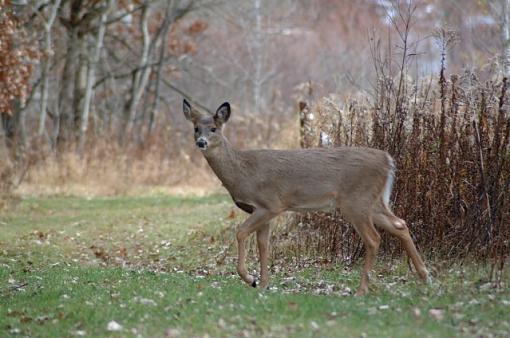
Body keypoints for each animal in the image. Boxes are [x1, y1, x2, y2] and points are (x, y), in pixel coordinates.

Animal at [181, 99, 428, 294]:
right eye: (196, 128)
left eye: (214, 128)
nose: (201, 142)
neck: (243, 173)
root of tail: (388, 160)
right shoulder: (262, 211)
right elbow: (263, 245)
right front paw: (263, 284)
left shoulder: (270, 203)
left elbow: (241, 233)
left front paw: (250, 279)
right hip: (373, 202)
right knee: (400, 224)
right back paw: (424, 276)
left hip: (356, 201)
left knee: (374, 238)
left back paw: (362, 290)